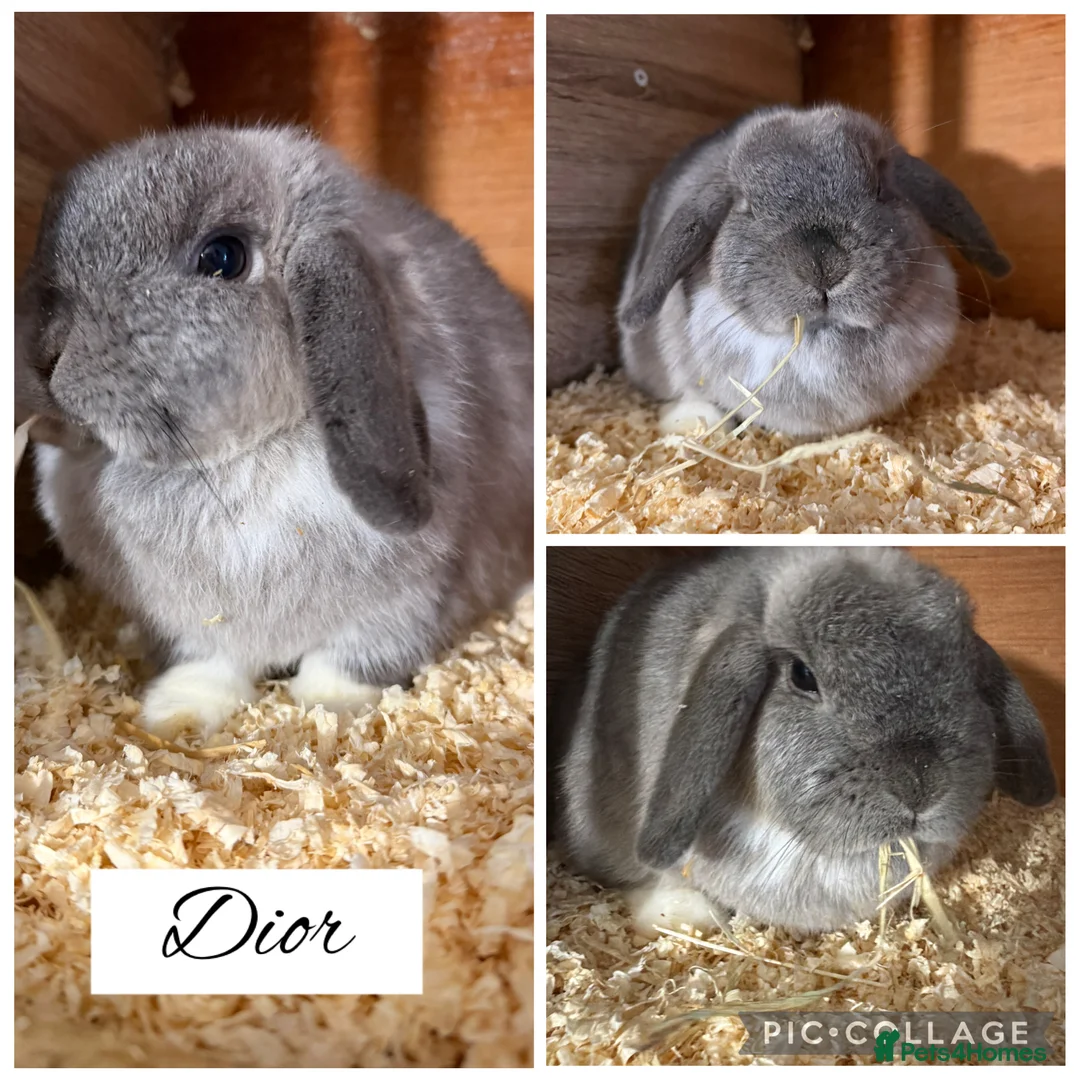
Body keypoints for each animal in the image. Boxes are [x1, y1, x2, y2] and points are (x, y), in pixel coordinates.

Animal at [15, 125, 533, 738]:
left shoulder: (406, 603)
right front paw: (178, 712)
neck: (234, 461)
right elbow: (212, 665)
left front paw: (328, 707)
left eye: (222, 257)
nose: (45, 354)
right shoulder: (194, 626)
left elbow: (348, 661)